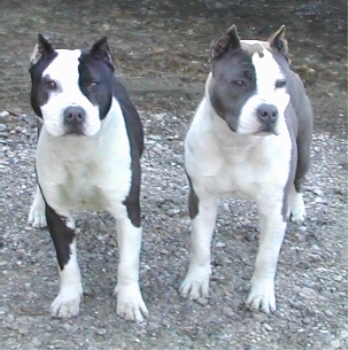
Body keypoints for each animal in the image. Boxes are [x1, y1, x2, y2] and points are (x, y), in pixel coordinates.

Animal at [27, 34, 147, 322]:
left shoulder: (128, 212)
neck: (78, 151)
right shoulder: (58, 214)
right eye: (51, 84)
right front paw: (69, 299)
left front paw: (129, 300)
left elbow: (128, 264)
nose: (73, 113)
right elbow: (67, 263)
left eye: (93, 83)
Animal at [181, 26, 314, 314]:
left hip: (304, 151)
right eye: (239, 83)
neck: (237, 144)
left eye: (279, 84)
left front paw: (262, 294)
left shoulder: (274, 211)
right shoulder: (202, 200)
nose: (268, 111)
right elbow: (201, 247)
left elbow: (267, 257)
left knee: (298, 181)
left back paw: (297, 207)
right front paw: (197, 281)